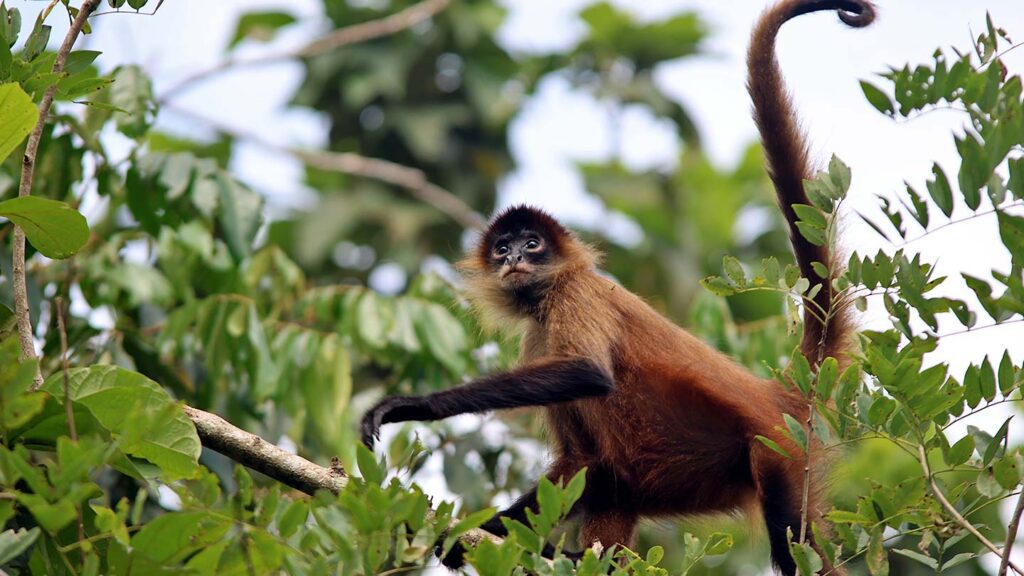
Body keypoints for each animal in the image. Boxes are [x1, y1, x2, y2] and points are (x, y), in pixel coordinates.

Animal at [359, 1, 875, 574]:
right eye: (502, 248)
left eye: (532, 245)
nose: (513, 258)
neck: (548, 294)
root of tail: (777, 393)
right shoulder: (537, 334)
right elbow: (580, 460)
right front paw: (454, 537)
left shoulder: (574, 295)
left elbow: (586, 373)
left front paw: (411, 407)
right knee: (607, 477)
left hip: (777, 455)